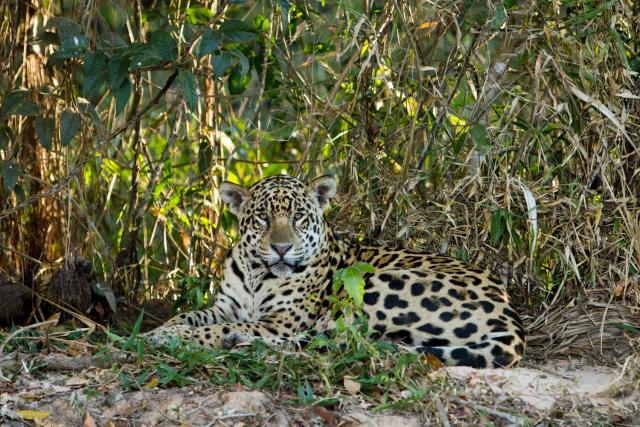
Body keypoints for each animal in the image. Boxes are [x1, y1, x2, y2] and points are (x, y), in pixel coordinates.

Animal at [145, 174, 525, 368]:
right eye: (263, 217)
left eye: (298, 216)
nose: (281, 248)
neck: (256, 273)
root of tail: (512, 321)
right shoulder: (225, 305)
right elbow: (190, 316)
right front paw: (160, 331)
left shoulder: (284, 319)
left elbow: (215, 328)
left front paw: (179, 337)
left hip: (376, 287)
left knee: (337, 340)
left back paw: (240, 340)